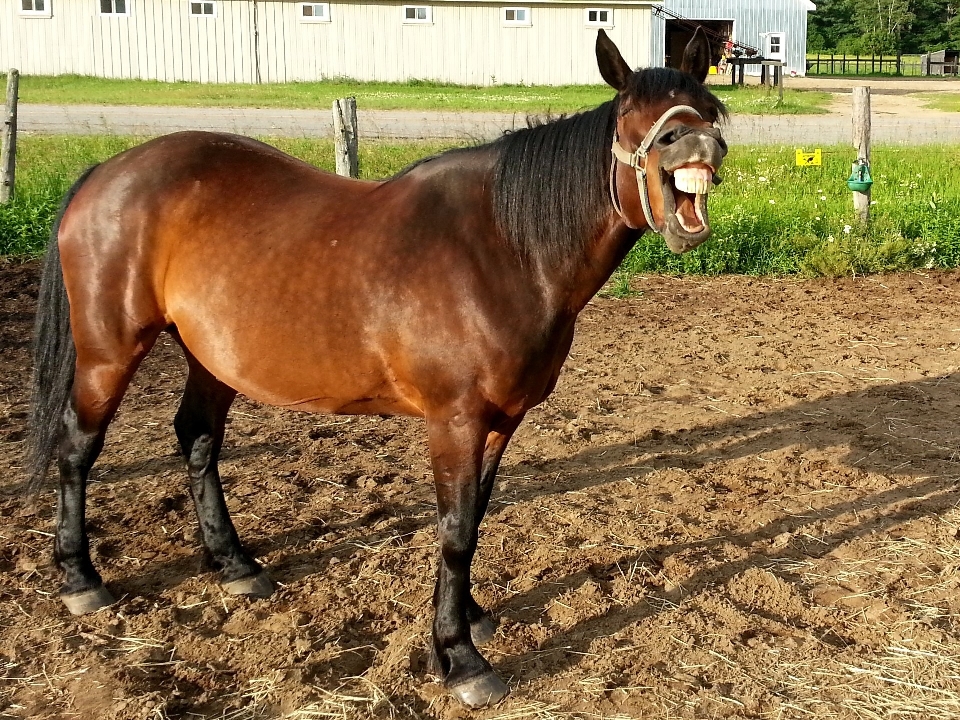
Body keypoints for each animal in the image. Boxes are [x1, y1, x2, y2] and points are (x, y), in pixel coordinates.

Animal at [24, 31, 728, 704]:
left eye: (709, 104)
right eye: (631, 117)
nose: (696, 142)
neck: (503, 249)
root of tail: (108, 171)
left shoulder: (501, 421)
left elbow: (473, 521)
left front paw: (470, 618)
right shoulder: (456, 421)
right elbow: (454, 529)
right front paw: (459, 658)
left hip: (210, 360)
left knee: (196, 438)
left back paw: (234, 564)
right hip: (109, 352)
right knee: (78, 448)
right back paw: (81, 578)